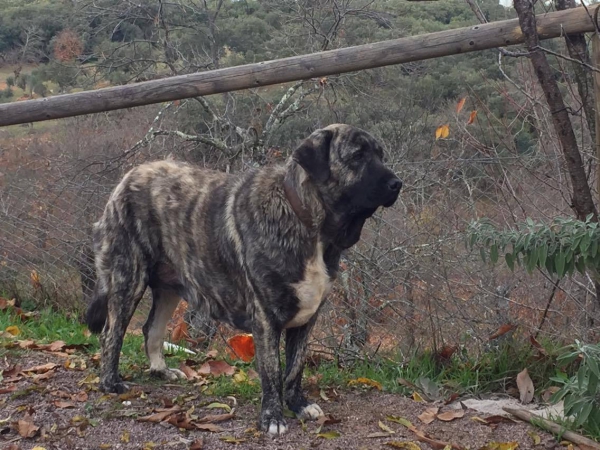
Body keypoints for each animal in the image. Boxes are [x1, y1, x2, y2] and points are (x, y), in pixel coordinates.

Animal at [85, 124, 404, 436]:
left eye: (380, 155)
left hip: (168, 288)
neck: (305, 219)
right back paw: (111, 382)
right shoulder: (265, 318)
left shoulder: (306, 318)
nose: (397, 183)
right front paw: (272, 417)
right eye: (357, 156)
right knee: (111, 334)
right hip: (129, 279)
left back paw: (160, 370)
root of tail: (128, 177)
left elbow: (295, 367)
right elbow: (273, 371)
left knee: (151, 329)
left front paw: (298, 404)